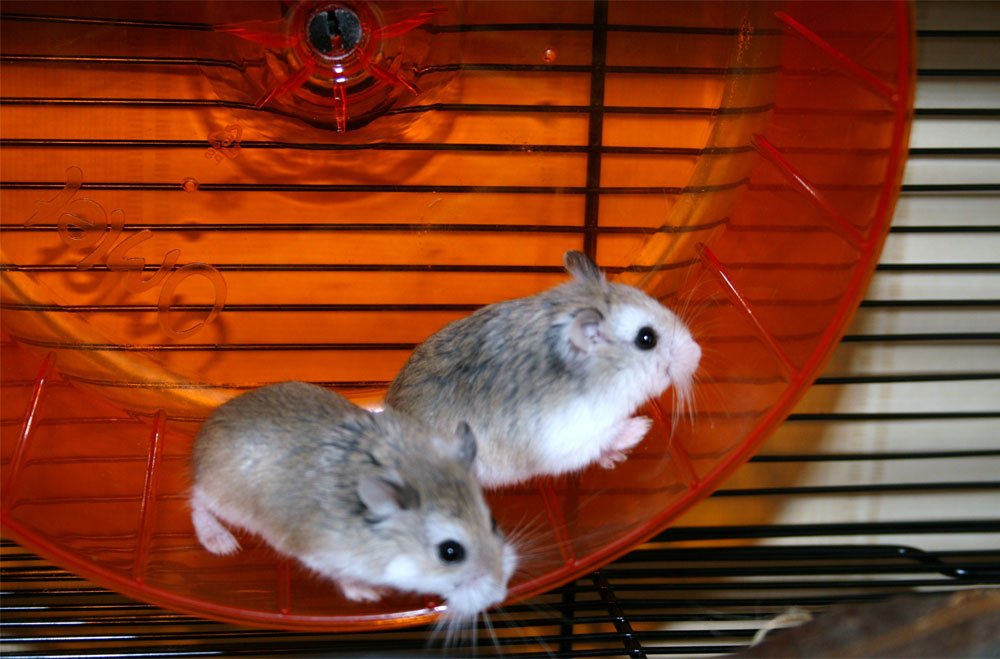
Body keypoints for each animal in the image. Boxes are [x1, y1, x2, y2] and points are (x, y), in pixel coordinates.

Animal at [190, 381, 517, 619]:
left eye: (493, 522)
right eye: (450, 552)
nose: (500, 593)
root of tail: (205, 428)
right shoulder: (320, 552)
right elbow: (342, 575)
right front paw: (369, 595)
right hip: (225, 498)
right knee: (195, 499)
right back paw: (222, 544)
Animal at [385, 250, 701, 488]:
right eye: (646, 339)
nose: (697, 354)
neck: (603, 376)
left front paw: (617, 458)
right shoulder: (572, 438)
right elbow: (604, 439)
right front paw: (641, 429)